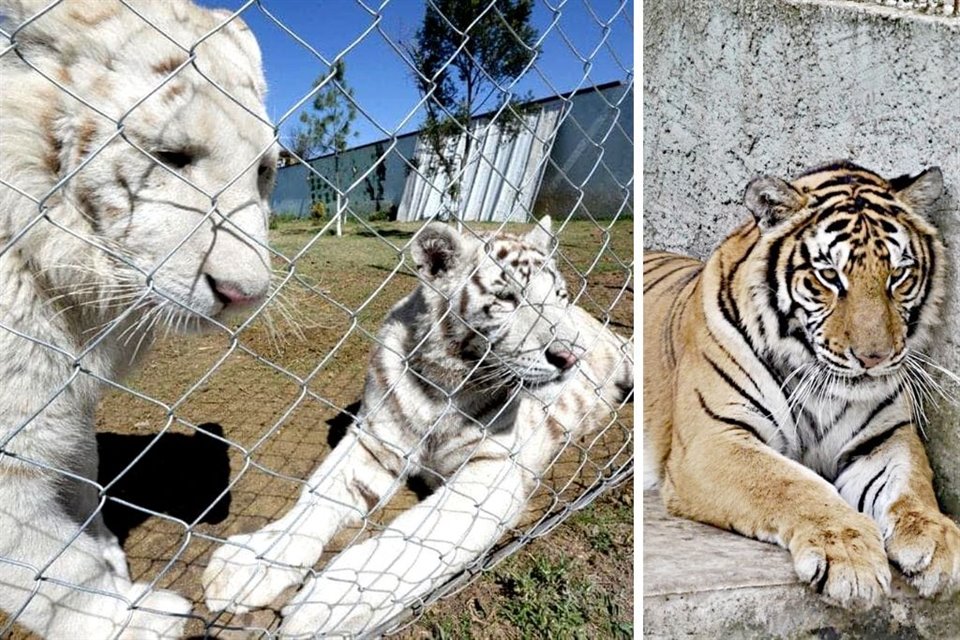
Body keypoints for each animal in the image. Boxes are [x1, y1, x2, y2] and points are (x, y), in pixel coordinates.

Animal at [0, 2, 276, 636]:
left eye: (265, 172)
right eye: (170, 158)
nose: (246, 293)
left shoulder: (67, 398)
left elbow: (82, 473)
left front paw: (103, 545)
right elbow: (56, 568)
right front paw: (133, 619)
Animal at [204, 219, 632, 636]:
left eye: (560, 295)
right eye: (507, 298)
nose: (572, 356)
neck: (444, 386)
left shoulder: (491, 470)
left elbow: (416, 535)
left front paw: (330, 603)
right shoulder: (374, 442)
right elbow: (315, 501)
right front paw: (245, 566)